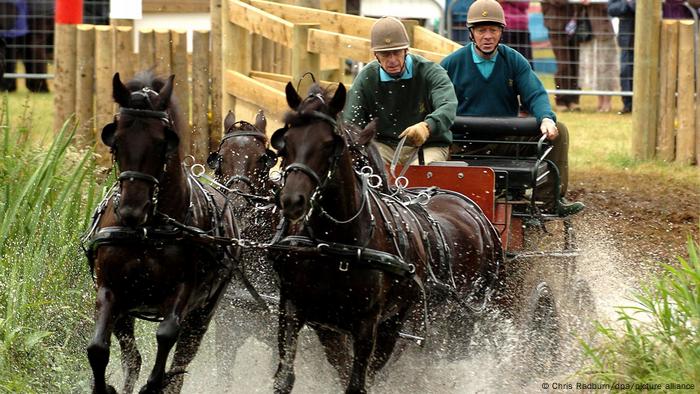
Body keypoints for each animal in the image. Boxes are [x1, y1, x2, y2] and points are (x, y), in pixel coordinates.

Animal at [82, 71, 238, 394]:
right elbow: (98, 348)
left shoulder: (183, 290)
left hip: (204, 311)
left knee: (182, 358)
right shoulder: (110, 289)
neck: (147, 231)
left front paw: (153, 385)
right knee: (133, 358)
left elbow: (166, 335)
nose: (131, 211)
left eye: (160, 143)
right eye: (116, 140)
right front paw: (105, 387)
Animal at [268, 81, 504, 392]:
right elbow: (288, 375)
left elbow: (358, 381)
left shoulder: (369, 322)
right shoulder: (298, 309)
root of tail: (471, 209)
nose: (292, 200)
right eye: (285, 140)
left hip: (447, 320)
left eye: (330, 143)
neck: (334, 243)